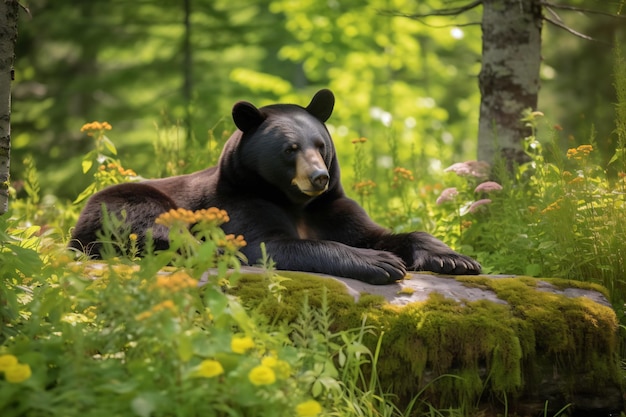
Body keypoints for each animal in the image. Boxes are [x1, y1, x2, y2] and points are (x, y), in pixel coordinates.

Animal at [69, 89, 478, 284]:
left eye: (321, 145)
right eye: (290, 148)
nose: (319, 178)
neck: (296, 202)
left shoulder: (332, 208)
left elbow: (374, 232)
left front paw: (455, 258)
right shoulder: (239, 204)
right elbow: (270, 243)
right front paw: (380, 262)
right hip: (124, 200)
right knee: (154, 225)